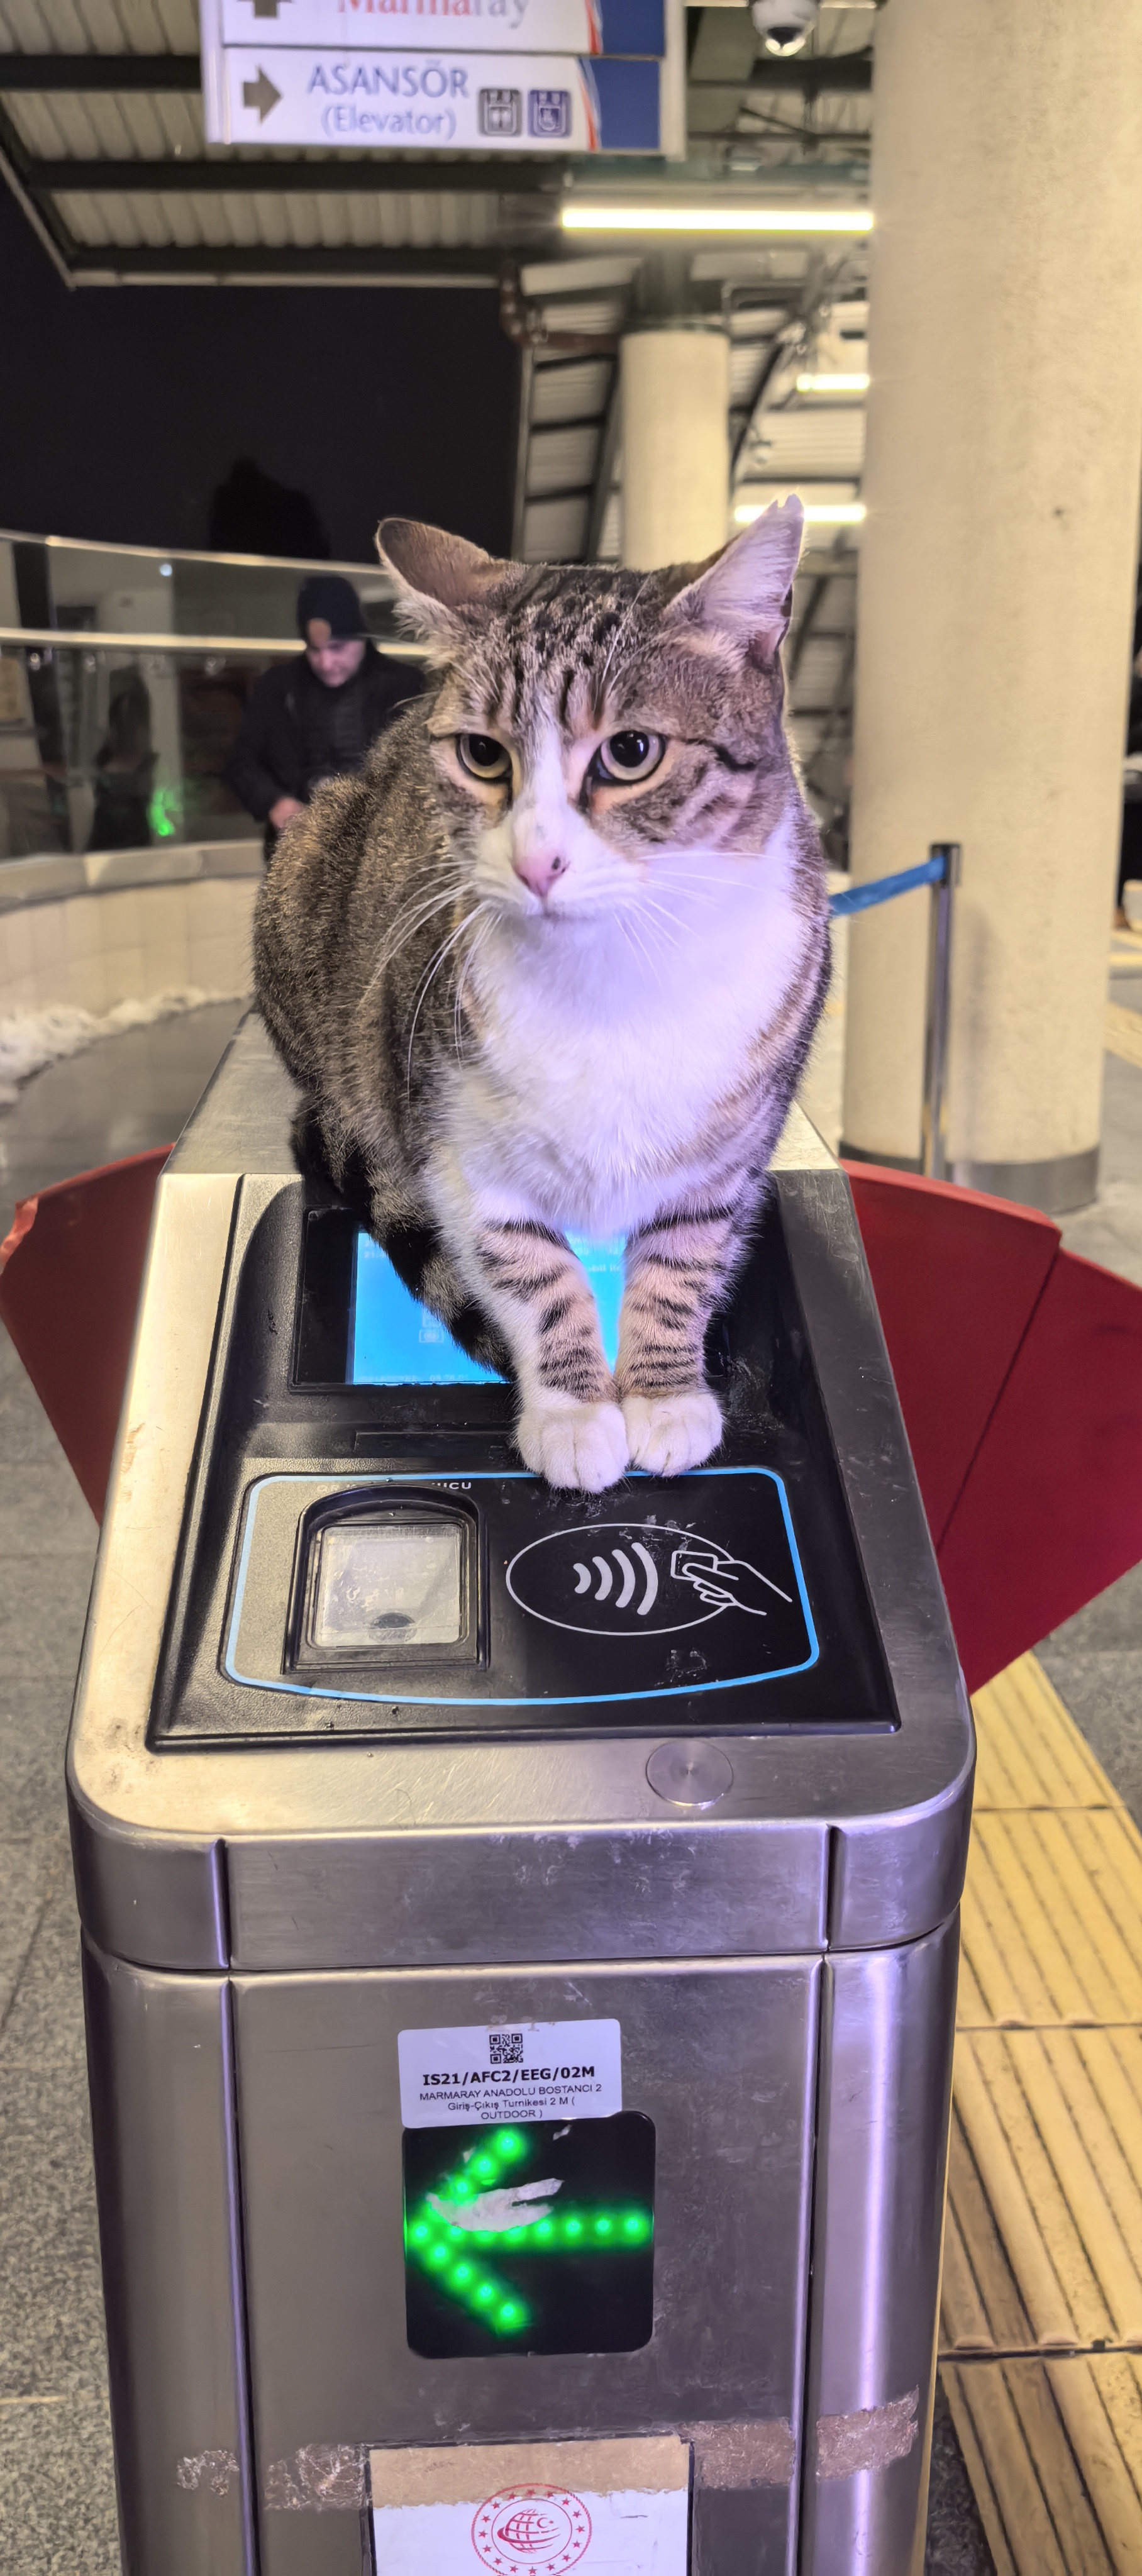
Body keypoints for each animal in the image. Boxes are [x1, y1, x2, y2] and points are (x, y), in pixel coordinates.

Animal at [255, 499, 829, 1494]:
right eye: (483, 755)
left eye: (631, 752)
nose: (536, 862)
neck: (615, 969)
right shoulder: (456, 1144)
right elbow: (533, 1272)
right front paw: (573, 1411)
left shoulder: (727, 1156)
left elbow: (682, 1265)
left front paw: (663, 1394)